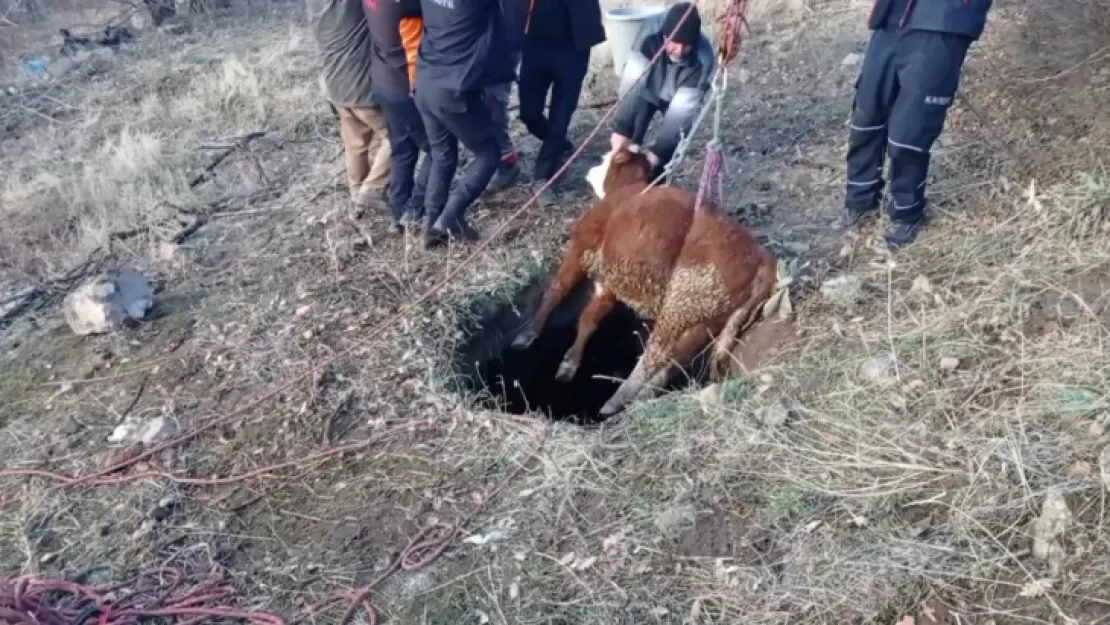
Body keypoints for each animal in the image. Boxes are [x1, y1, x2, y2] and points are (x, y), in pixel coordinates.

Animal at [512, 146, 781, 417]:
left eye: (606, 157)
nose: (591, 168)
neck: (627, 190)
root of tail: (762, 256)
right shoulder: (612, 279)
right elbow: (590, 317)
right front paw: (570, 362)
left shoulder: (582, 248)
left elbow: (558, 289)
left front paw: (528, 333)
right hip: (709, 318)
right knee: (676, 358)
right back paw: (643, 398)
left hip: (681, 303)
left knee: (656, 353)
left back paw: (616, 401)